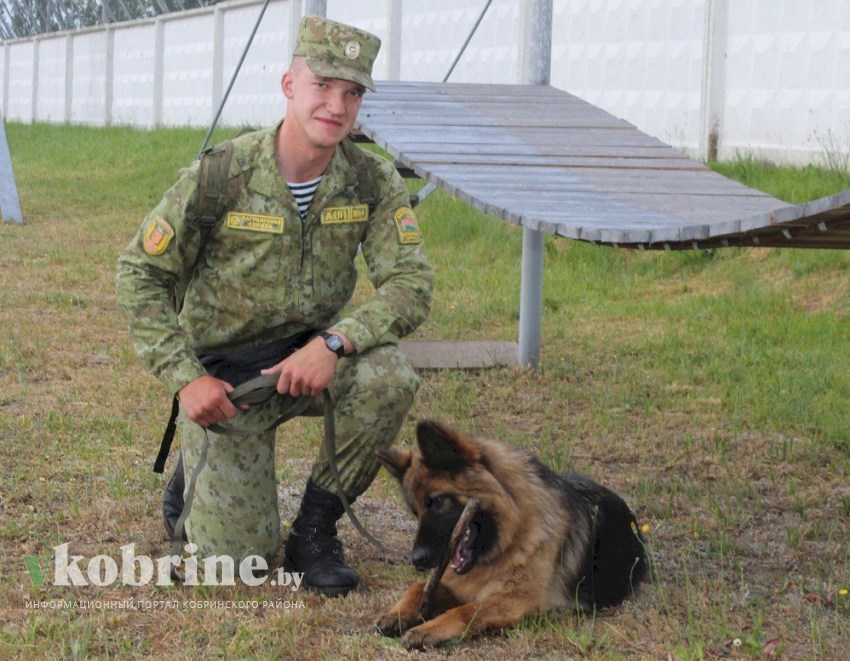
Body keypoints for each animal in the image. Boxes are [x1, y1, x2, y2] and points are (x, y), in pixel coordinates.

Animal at [375, 419, 647, 648]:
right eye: (415, 511)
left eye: (438, 502)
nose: (416, 560)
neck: (508, 540)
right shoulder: (460, 585)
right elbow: (419, 587)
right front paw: (398, 613)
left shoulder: (518, 599)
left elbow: (467, 610)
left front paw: (428, 629)